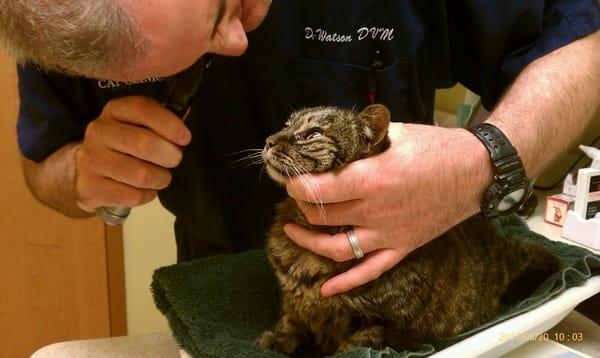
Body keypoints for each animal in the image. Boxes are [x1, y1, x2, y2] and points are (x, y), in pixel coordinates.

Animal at [255, 104, 560, 356]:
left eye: (312, 133)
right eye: (286, 124)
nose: (269, 140)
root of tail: (502, 248)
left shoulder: (379, 325)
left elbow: (353, 348)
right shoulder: (293, 303)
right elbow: (290, 324)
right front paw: (276, 342)